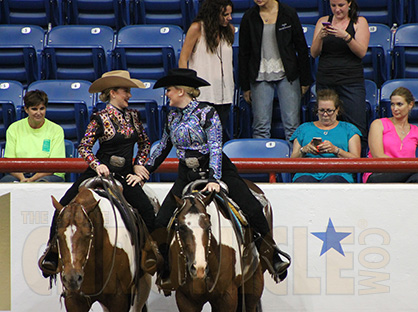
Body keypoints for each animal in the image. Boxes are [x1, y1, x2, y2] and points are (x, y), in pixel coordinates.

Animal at [162, 180, 266, 312]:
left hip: (253, 283)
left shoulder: (227, 297)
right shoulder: (185, 299)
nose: (199, 267)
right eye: (180, 227)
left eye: (209, 226)